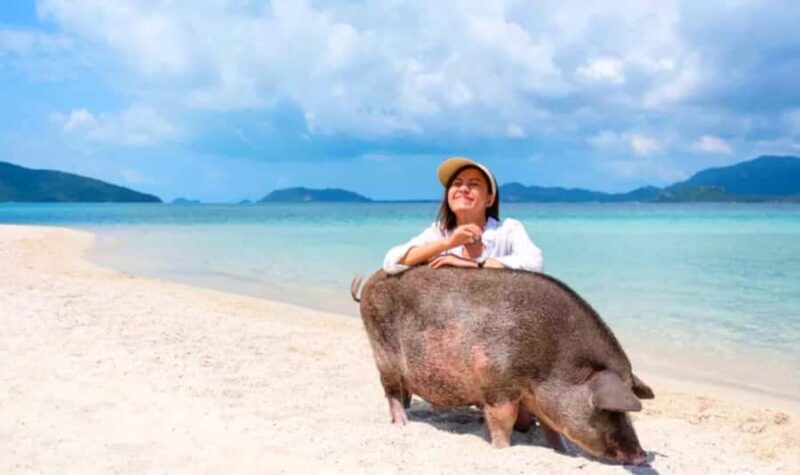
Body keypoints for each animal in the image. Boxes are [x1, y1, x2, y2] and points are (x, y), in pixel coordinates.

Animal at [351, 266, 654, 466]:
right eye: (608, 410)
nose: (641, 455)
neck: (554, 363)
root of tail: (371, 281)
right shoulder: (497, 384)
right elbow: (503, 419)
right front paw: (502, 449)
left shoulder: (538, 399)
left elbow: (551, 427)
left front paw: (564, 452)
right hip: (383, 352)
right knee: (390, 391)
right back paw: (402, 424)